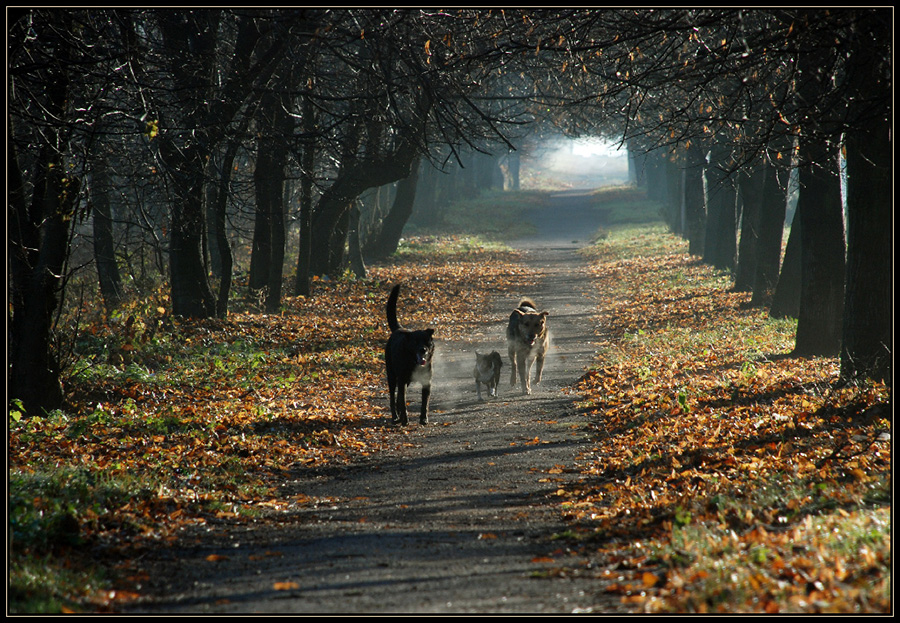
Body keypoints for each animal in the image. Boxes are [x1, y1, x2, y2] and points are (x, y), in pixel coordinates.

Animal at [382, 286, 434, 426]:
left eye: (427, 341)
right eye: (415, 342)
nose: (423, 349)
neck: (413, 362)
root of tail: (398, 329)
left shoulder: (426, 382)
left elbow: (424, 404)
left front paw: (423, 419)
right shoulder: (401, 380)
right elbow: (403, 402)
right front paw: (405, 420)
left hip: (405, 381)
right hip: (392, 377)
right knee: (393, 398)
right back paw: (395, 417)